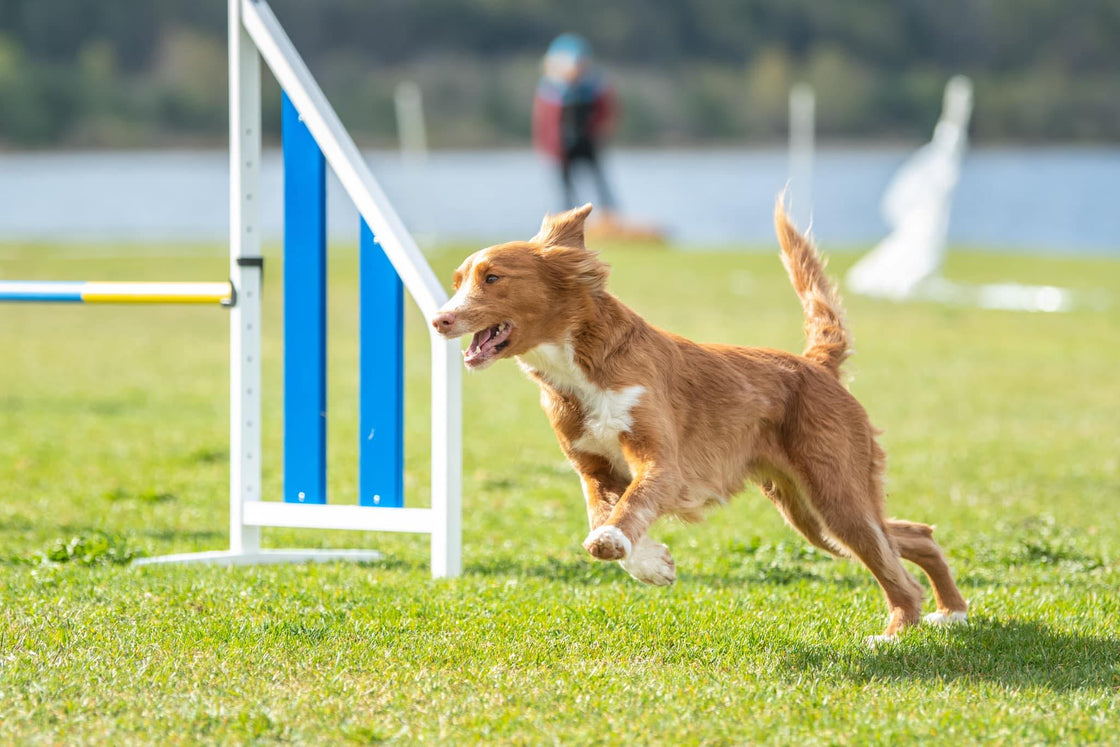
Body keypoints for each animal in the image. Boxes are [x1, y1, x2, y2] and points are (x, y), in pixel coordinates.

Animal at [432, 200, 967, 645]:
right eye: (458, 281)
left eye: (493, 278)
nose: (439, 319)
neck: (579, 367)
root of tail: (814, 364)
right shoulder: (593, 469)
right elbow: (603, 515)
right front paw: (653, 564)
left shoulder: (663, 462)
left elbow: (626, 511)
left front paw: (625, 547)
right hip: (811, 515)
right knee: (913, 535)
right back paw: (951, 611)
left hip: (835, 492)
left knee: (894, 566)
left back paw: (897, 632)